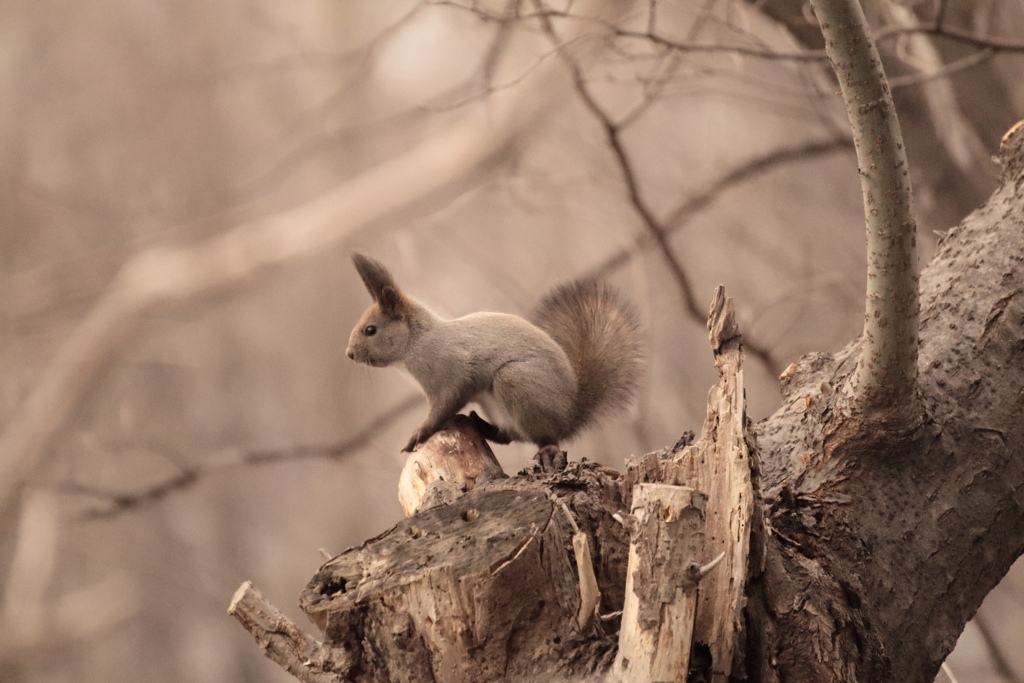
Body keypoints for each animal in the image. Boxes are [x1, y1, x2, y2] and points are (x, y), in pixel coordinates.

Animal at [348, 250, 643, 454]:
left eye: (370, 330)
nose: (349, 354)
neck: (417, 342)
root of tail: (570, 415)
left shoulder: (450, 375)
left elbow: (444, 406)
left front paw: (419, 434)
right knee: (509, 436)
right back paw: (480, 425)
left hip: (515, 382)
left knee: (542, 437)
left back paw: (546, 447)